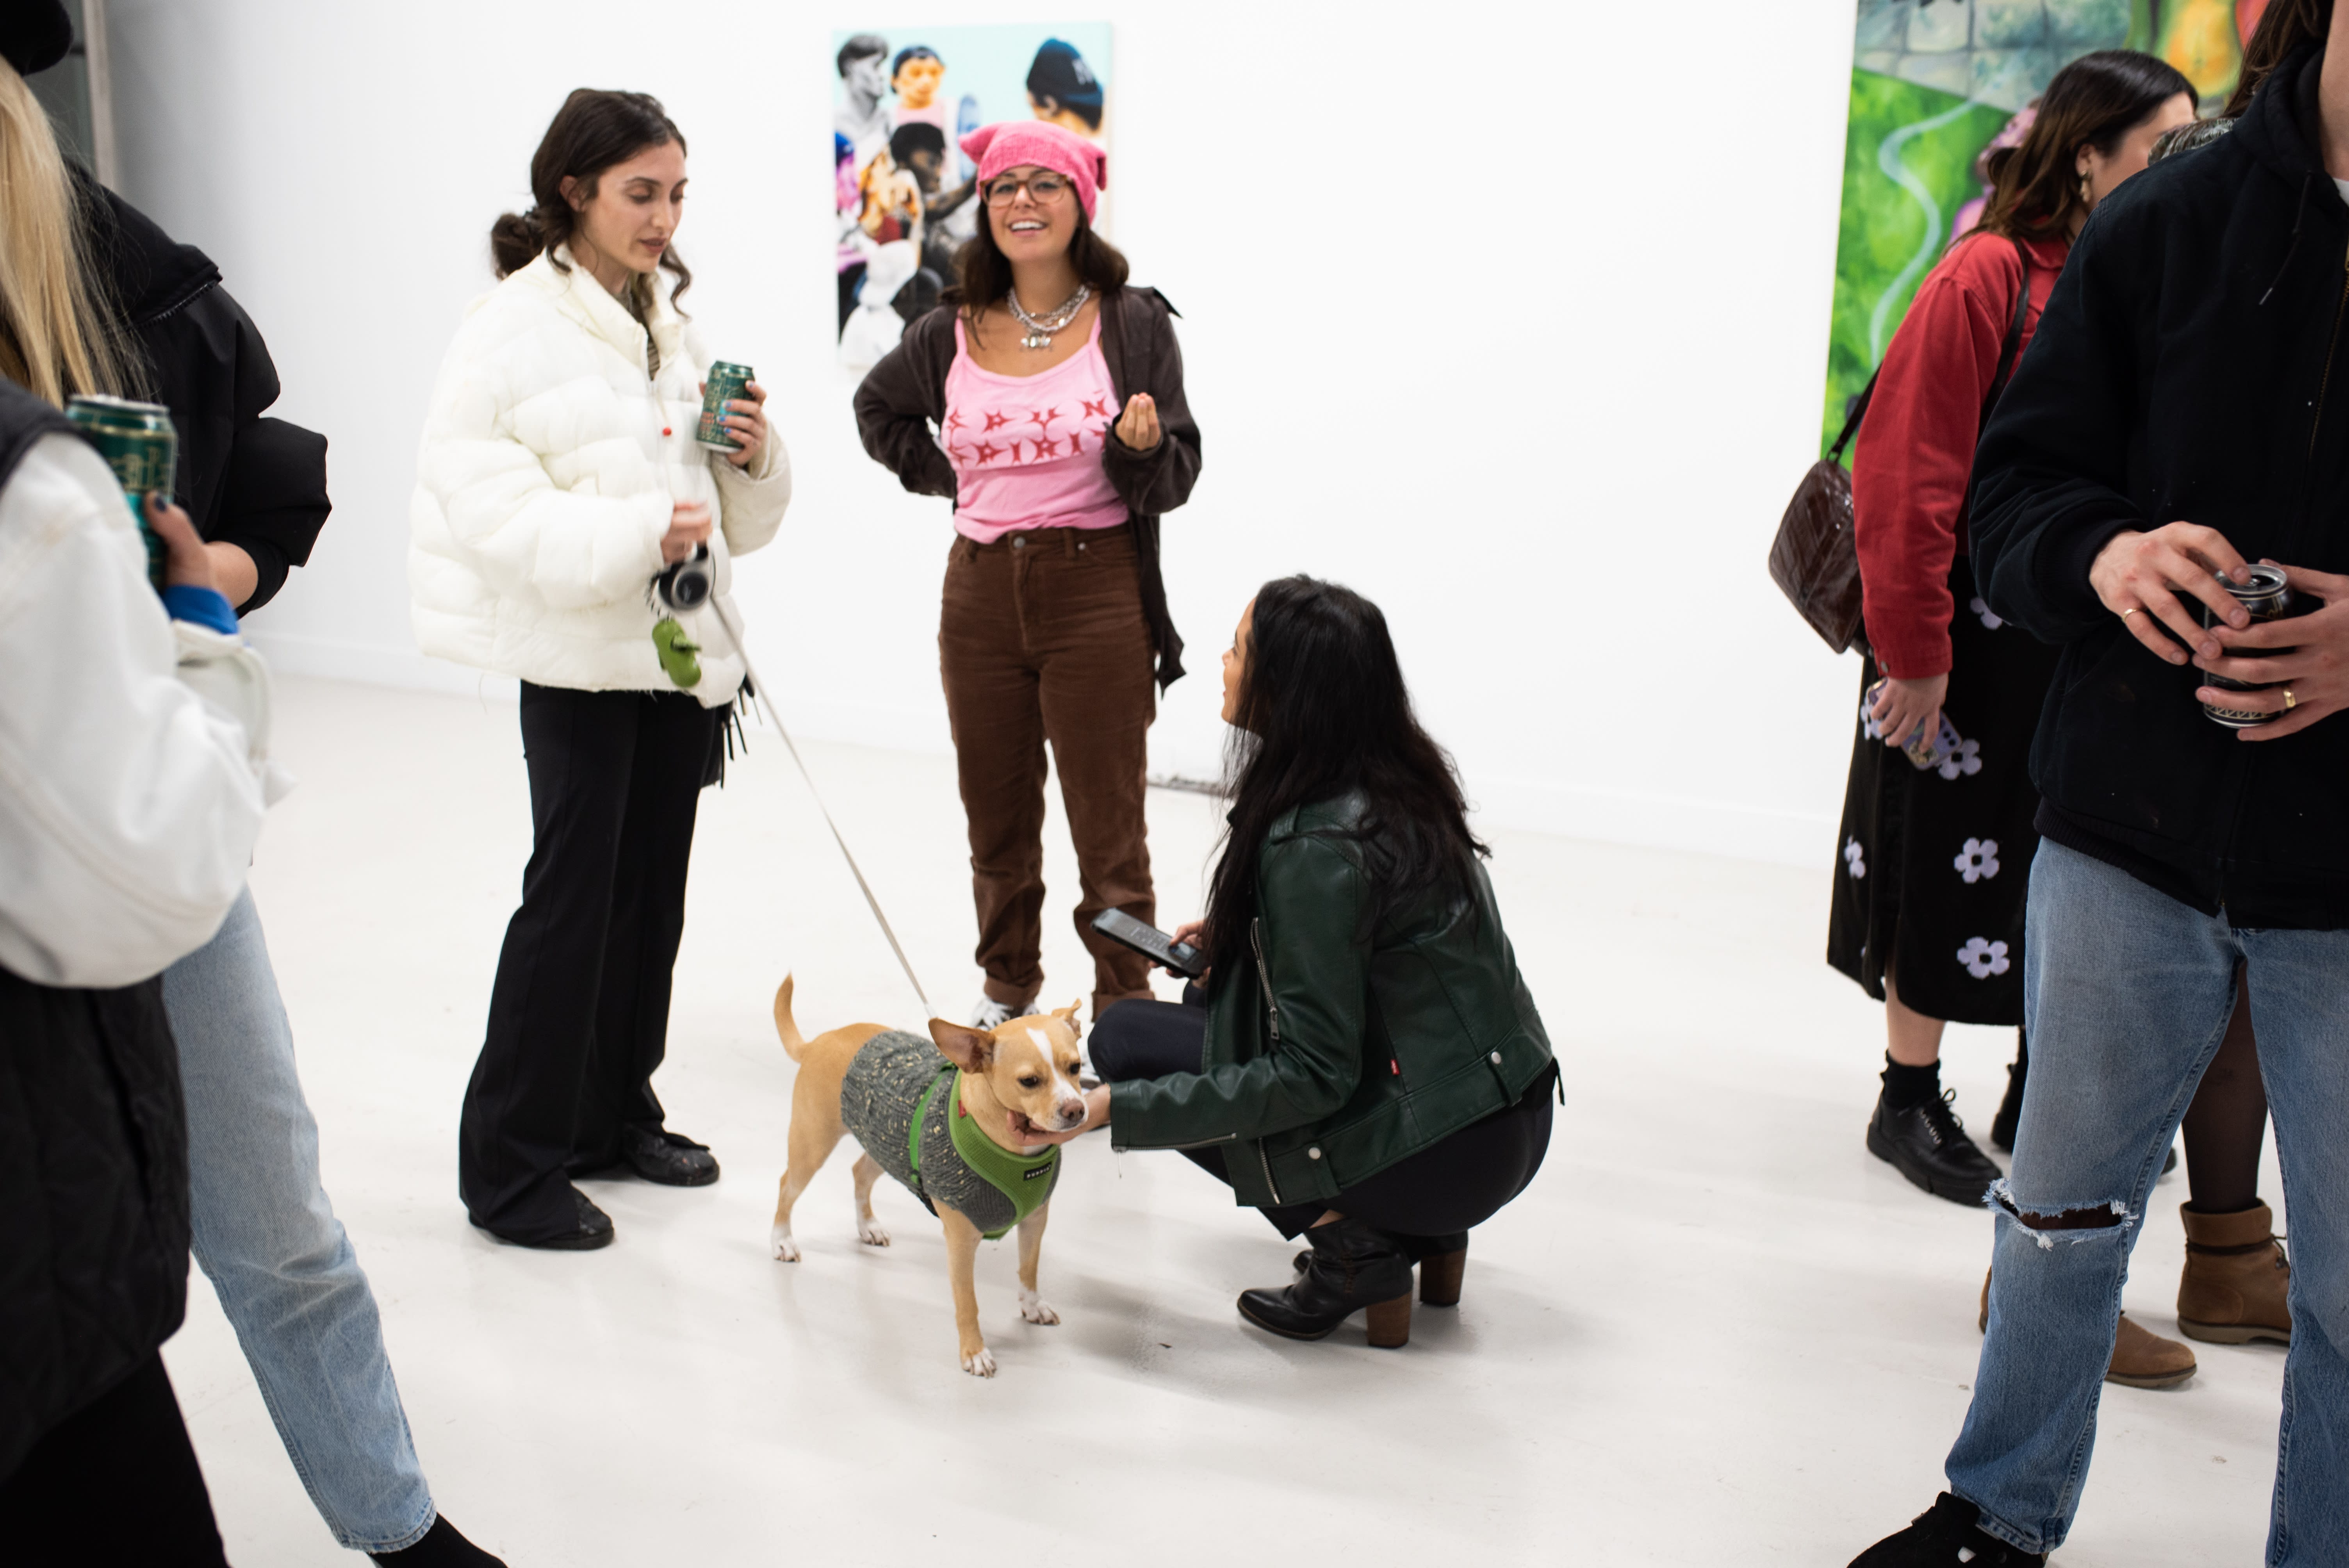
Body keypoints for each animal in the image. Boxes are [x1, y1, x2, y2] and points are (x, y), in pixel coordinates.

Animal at [780, 971, 1090, 1380]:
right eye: (1029, 1081)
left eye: (1075, 1068)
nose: (1076, 1110)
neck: (1013, 1153)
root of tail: (819, 1041)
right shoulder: (961, 1243)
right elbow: (968, 1302)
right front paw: (974, 1352)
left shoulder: (1035, 1221)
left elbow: (1029, 1268)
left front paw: (1032, 1304)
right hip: (812, 1147)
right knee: (787, 1188)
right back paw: (782, 1241)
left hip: (884, 1142)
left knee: (859, 1173)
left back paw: (868, 1226)